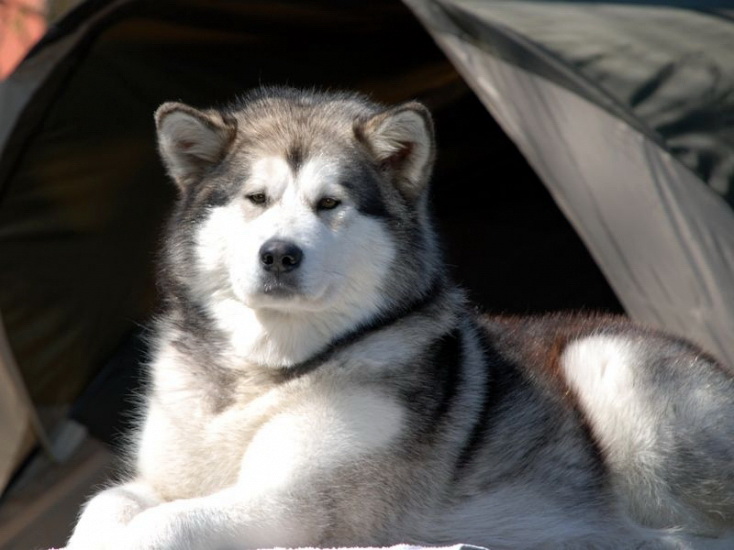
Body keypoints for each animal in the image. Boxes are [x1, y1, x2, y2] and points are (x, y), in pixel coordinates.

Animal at [66, 87, 734, 550]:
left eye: (329, 203)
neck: (264, 373)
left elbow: (159, 526)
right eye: (255, 199)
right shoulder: (163, 479)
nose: (279, 254)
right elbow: (104, 506)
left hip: (607, 361)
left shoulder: (293, 505)